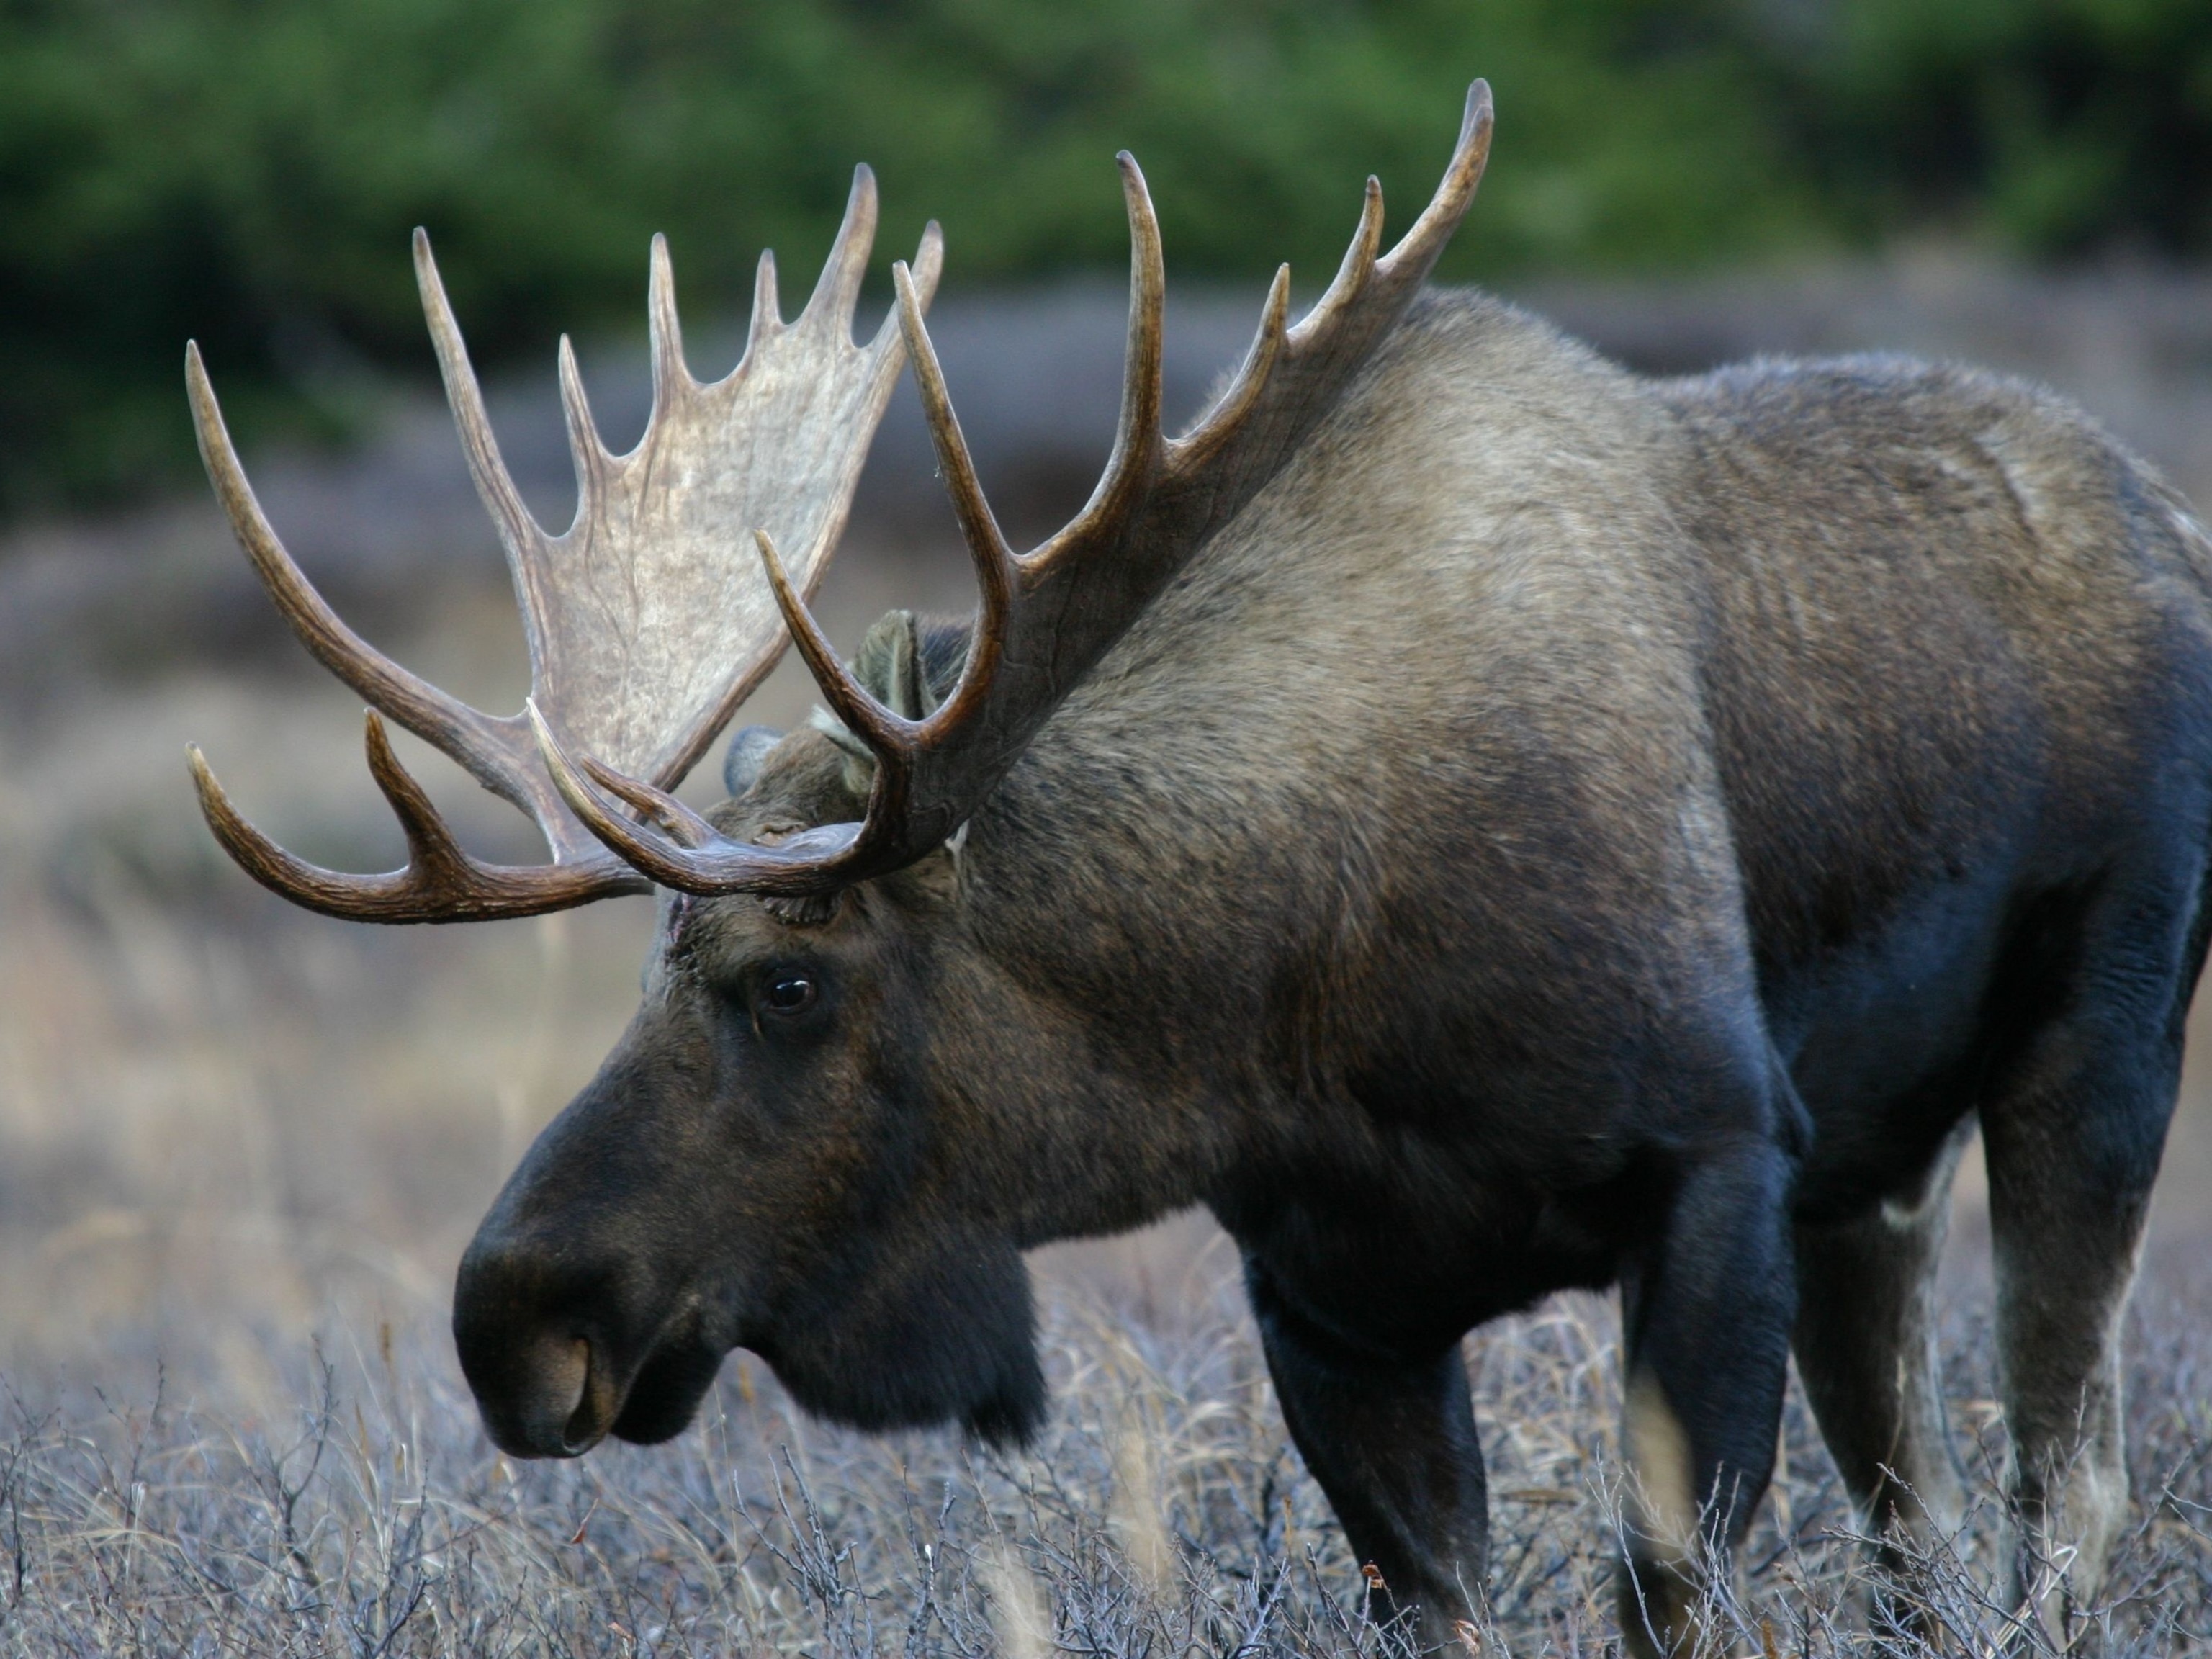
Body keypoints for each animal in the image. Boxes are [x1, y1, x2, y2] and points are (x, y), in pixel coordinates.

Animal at [186, 84, 2212, 1654]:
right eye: (651, 963)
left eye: (791, 980)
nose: (513, 1316)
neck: (1289, 1003)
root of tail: (2171, 514)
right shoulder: (1325, 1294)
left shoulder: (1710, 1156)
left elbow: (1673, 1588)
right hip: (1873, 1175)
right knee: (1917, 1523)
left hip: (2090, 1039)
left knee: (2065, 1484)